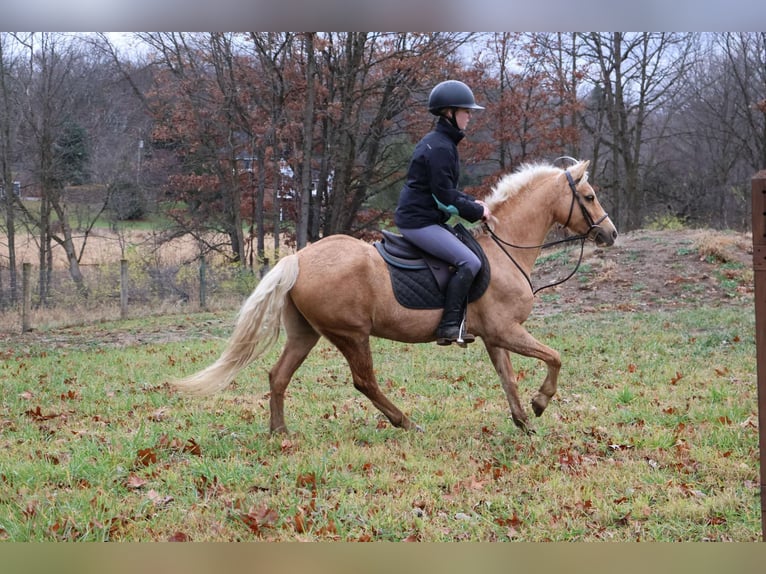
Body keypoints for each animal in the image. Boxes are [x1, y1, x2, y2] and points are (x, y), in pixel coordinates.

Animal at [174, 160, 616, 434]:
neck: (505, 251)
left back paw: (279, 432)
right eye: (590, 197)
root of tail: (298, 257)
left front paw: (523, 421)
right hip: (351, 334)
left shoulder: (496, 337)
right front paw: (540, 403)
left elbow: (508, 378)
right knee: (364, 381)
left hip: (306, 334)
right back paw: (405, 422)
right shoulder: (506, 331)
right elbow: (555, 357)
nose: (610, 234)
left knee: (278, 376)